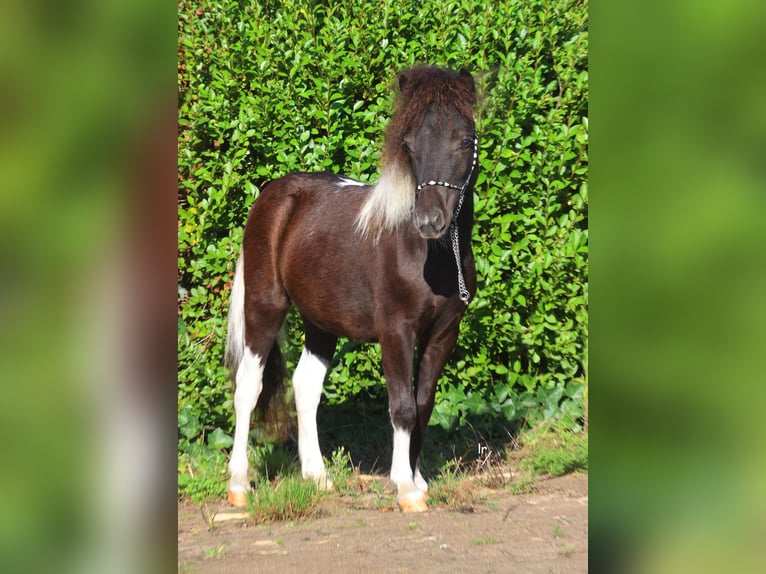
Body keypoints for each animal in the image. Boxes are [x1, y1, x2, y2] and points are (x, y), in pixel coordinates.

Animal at [225, 65, 479, 512]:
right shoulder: (395, 332)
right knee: (248, 387)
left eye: (464, 140)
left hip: (320, 323)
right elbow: (402, 406)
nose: (429, 220)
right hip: (263, 308)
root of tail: (273, 194)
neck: (430, 255)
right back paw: (239, 485)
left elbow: (424, 403)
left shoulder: (443, 335)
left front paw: (418, 480)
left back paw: (317, 476)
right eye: (408, 144)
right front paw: (405, 487)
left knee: (305, 386)